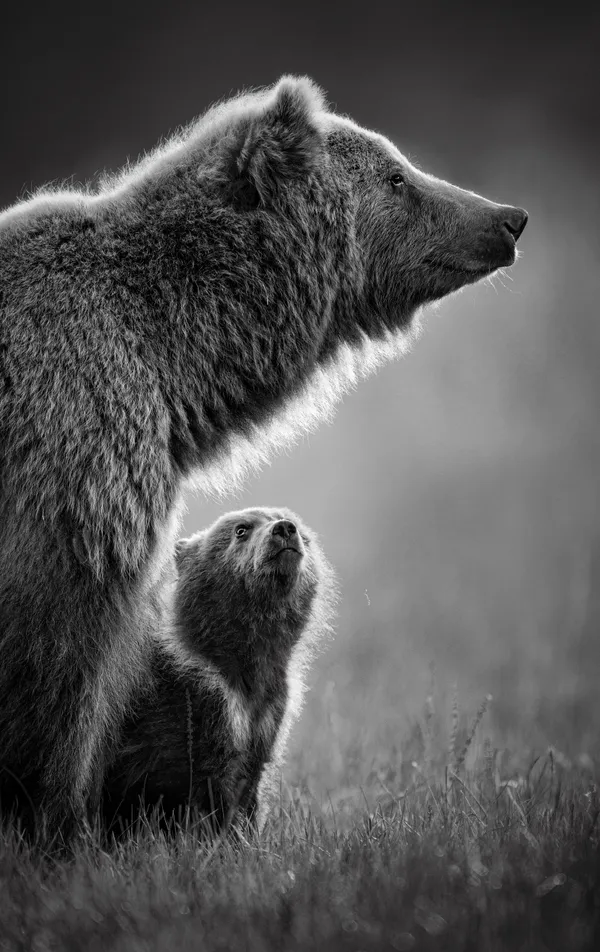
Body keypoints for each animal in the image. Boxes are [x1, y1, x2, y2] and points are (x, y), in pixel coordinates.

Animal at [101, 506, 334, 836]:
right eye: (241, 529)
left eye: (299, 528)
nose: (284, 529)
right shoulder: (203, 703)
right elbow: (208, 788)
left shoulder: (268, 711)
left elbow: (250, 783)